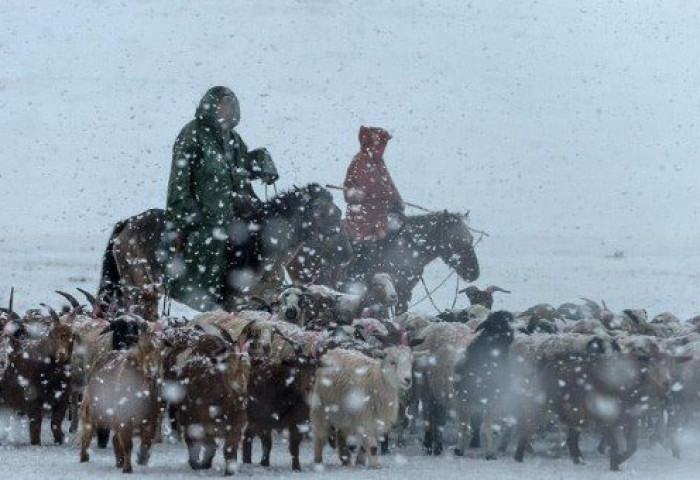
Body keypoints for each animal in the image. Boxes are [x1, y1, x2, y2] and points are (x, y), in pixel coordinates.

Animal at [0, 308, 76, 446]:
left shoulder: (62, 400)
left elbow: (55, 424)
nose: (62, 354)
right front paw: (36, 442)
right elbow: (35, 426)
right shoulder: (33, 401)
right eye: (52, 334)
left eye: (73, 335)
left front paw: (60, 440)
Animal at [78, 322, 162, 472]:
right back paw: (84, 458)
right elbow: (128, 444)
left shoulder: (150, 419)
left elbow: (146, 443)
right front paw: (128, 469)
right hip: (91, 410)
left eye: (159, 350)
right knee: (87, 434)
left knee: (115, 439)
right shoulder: (124, 418)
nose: (152, 369)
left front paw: (141, 459)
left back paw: (119, 462)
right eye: (141, 347)